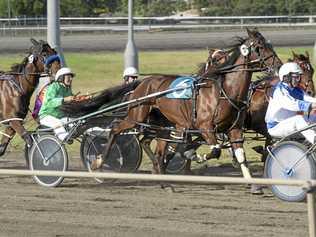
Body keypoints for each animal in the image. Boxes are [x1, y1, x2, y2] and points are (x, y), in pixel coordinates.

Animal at [97, 28, 284, 178]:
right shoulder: (204, 127)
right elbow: (214, 150)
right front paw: (194, 156)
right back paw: (99, 162)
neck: (224, 91)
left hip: (163, 123)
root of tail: (144, 82)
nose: (278, 66)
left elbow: (237, 152)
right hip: (137, 115)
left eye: (270, 45)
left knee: (148, 142)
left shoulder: (233, 128)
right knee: (116, 130)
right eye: (260, 47)